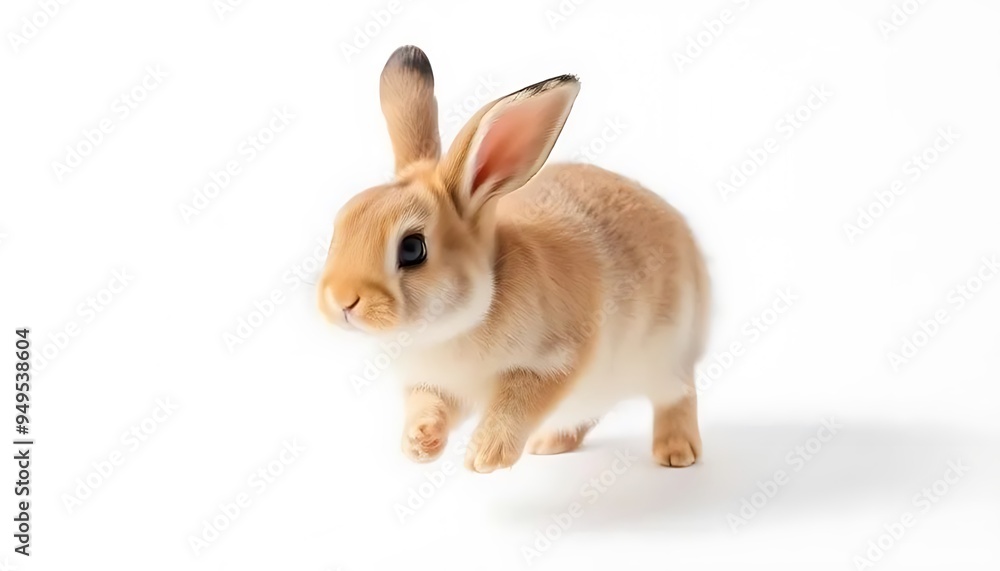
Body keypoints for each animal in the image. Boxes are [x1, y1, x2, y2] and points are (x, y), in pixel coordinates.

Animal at [318, 45, 710, 473]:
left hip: (665, 361)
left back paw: (676, 452)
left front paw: (485, 455)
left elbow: (517, 404)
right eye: (339, 227)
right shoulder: (436, 386)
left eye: (412, 249)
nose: (342, 301)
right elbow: (428, 406)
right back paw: (550, 444)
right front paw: (419, 445)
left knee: (679, 395)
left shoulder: (555, 361)